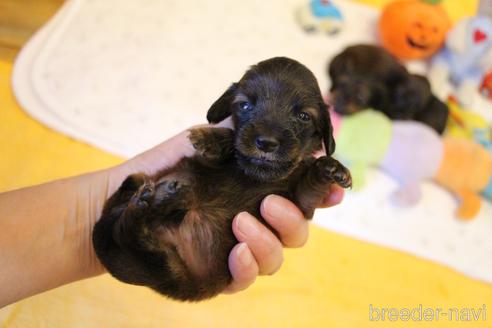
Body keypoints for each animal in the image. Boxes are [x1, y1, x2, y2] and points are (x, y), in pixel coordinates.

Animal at [92, 57, 352, 302]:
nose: (266, 143)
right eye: (245, 105)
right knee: (127, 223)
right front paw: (212, 138)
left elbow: (311, 183)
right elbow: (226, 145)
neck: (256, 177)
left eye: (304, 116)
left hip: (166, 267)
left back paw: (160, 198)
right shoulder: (202, 163)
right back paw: (153, 198)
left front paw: (331, 168)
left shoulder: (300, 202)